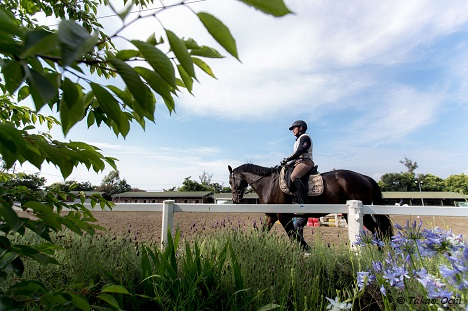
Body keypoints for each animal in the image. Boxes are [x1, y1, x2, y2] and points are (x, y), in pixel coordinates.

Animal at [229, 165, 394, 250]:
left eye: (231, 181)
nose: (236, 199)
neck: (269, 184)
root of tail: (364, 177)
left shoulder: (283, 215)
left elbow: (294, 235)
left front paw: (307, 250)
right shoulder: (272, 216)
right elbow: (263, 233)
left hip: (358, 212)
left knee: (377, 229)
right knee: (377, 230)